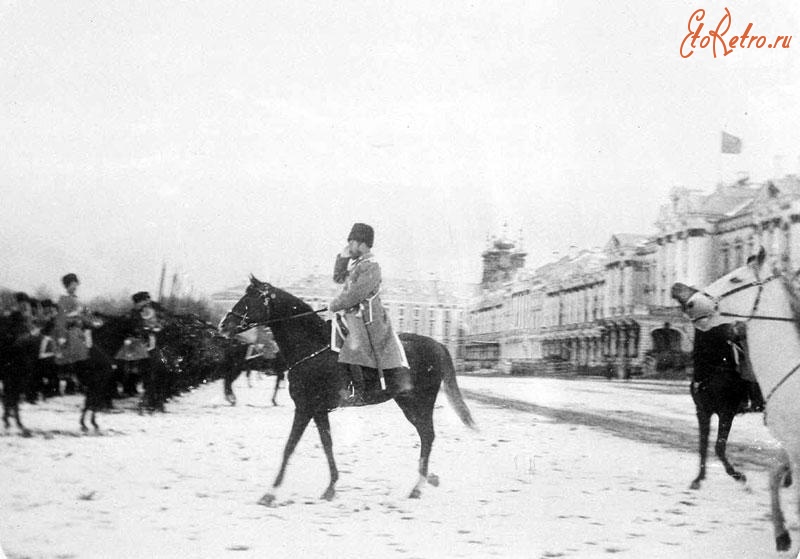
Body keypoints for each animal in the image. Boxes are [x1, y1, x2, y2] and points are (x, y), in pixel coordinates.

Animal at [219, 276, 476, 504]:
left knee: (428, 435)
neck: (313, 348)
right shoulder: (318, 410)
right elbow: (327, 445)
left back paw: (419, 485)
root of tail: (437, 344)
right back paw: (427, 479)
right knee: (425, 435)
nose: (224, 325)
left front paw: (271, 492)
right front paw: (331, 486)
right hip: (407, 403)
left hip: (421, 402)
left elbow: (290, 447)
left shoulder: (305, 408)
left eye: (250, 298)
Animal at [672, 247, 796, 552]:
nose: (685, 297)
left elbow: (717, 447)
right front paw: (698, 479)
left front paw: (741, 477)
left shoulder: (726, 412)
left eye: (734, 279)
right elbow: (703, 447)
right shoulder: (703, 412)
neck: (714, 365)